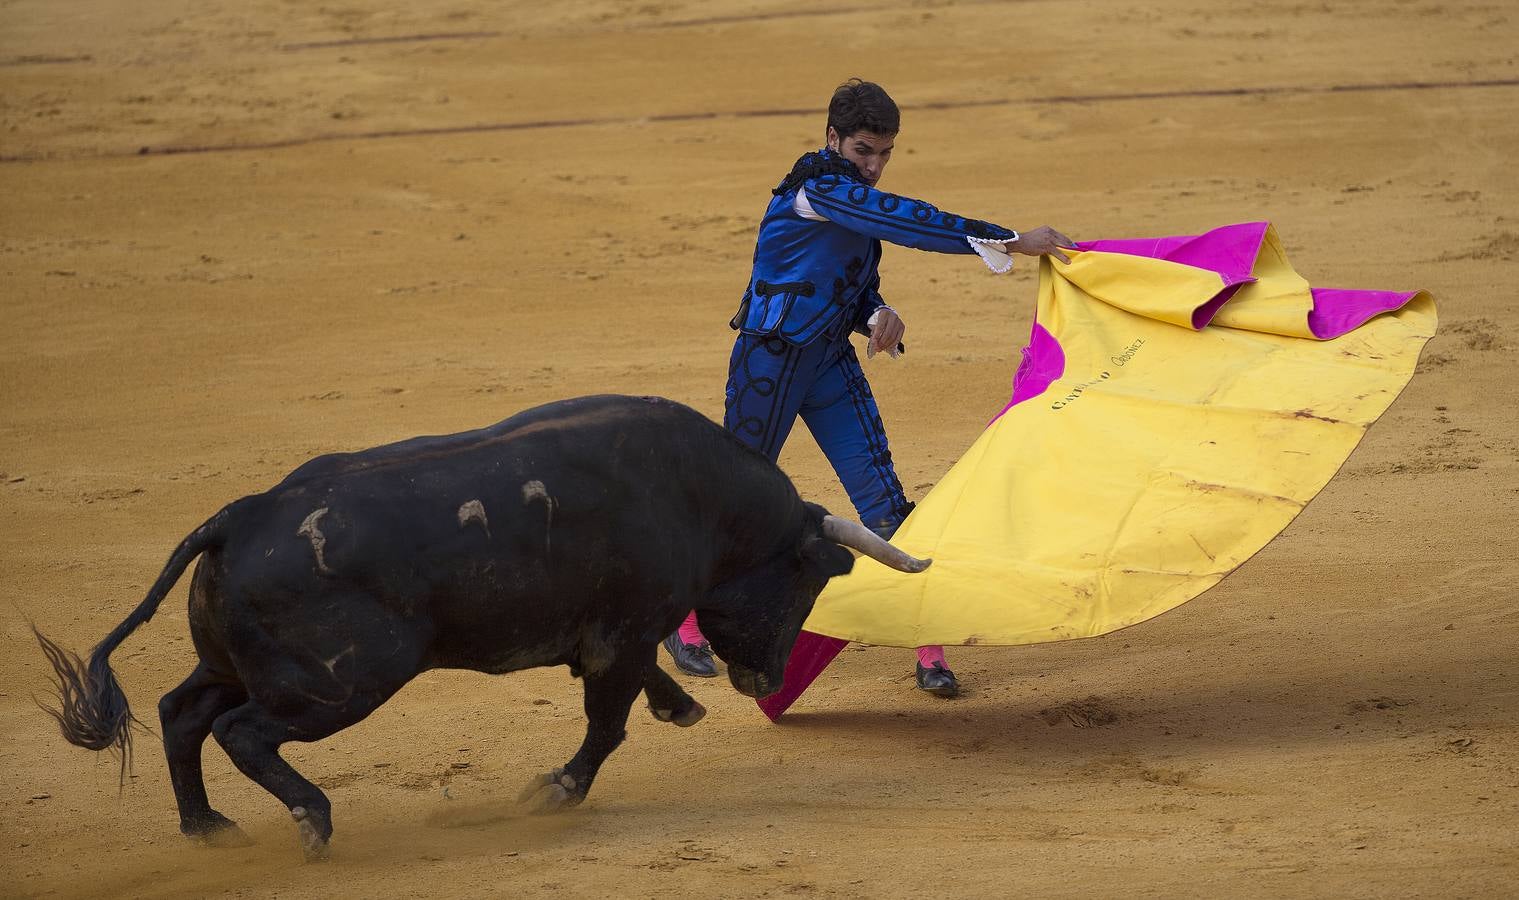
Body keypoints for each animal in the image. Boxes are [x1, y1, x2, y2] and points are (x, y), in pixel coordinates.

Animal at [35, 395, 929, 857]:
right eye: (808, 581)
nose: (765, 678)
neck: (700, 495)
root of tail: (237, 515)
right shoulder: (621, 632)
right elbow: (605, 726)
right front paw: (554, 789)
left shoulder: (616, 634)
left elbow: (628, 694)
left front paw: (677, 706)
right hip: (338, 684)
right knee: (243, 732)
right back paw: (311, 819)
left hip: (238, 665)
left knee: (181, 712)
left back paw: (206, 827)